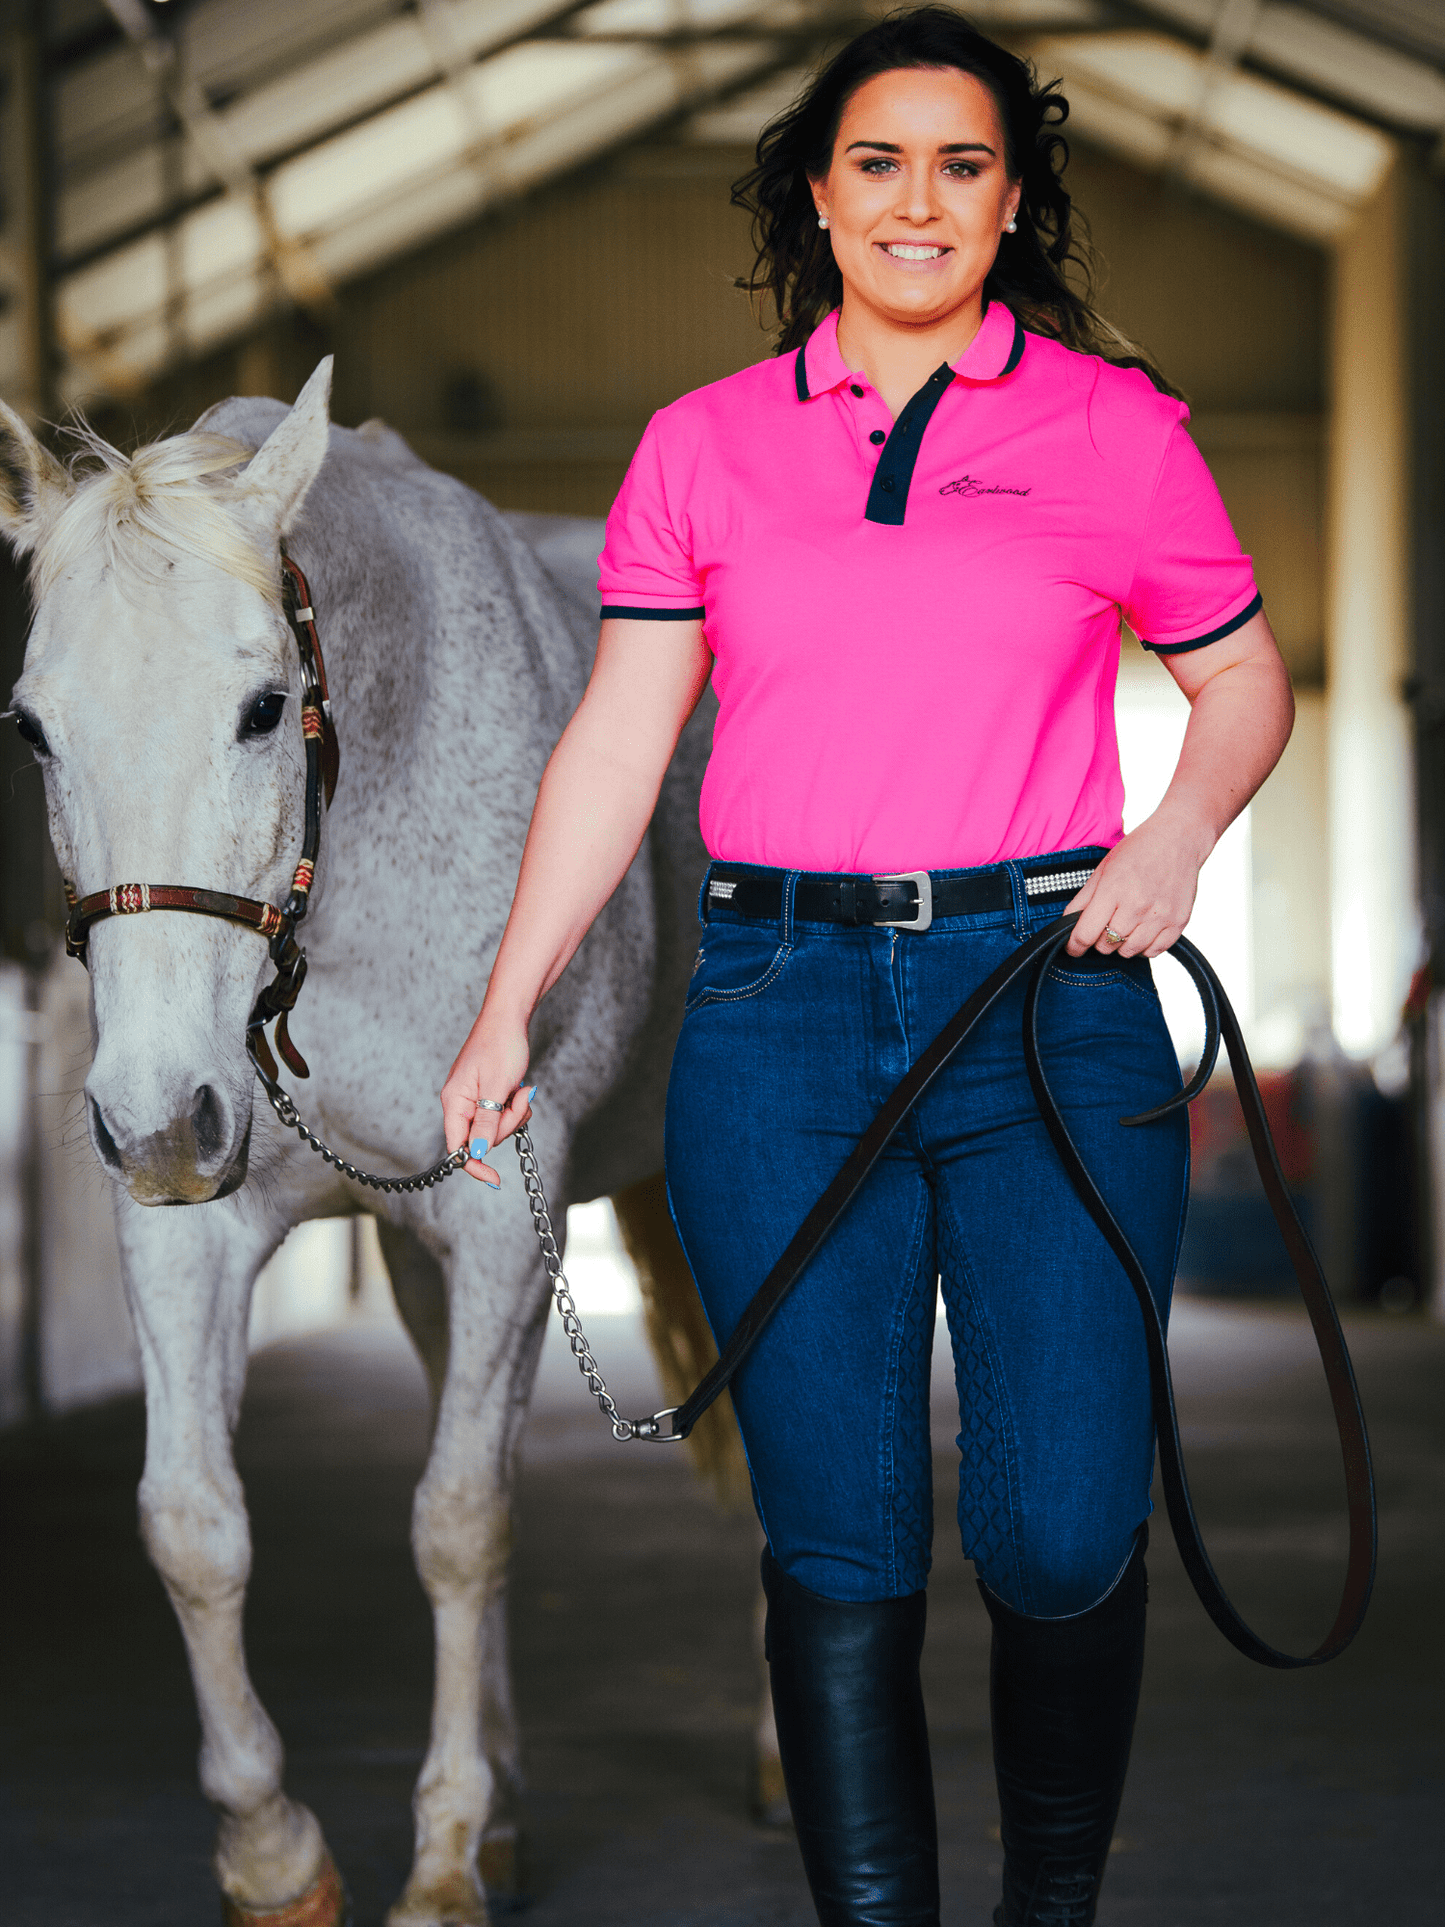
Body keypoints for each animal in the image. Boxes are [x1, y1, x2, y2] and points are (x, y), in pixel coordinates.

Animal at [0, 364, 759, 1927]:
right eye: (34, 728)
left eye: (262, 705)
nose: (154, 1120)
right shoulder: (194, 1224)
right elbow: (193, 1520)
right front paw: (278, 1852)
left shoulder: (499, 1226)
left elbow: (460, 1519)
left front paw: (446, 1853)